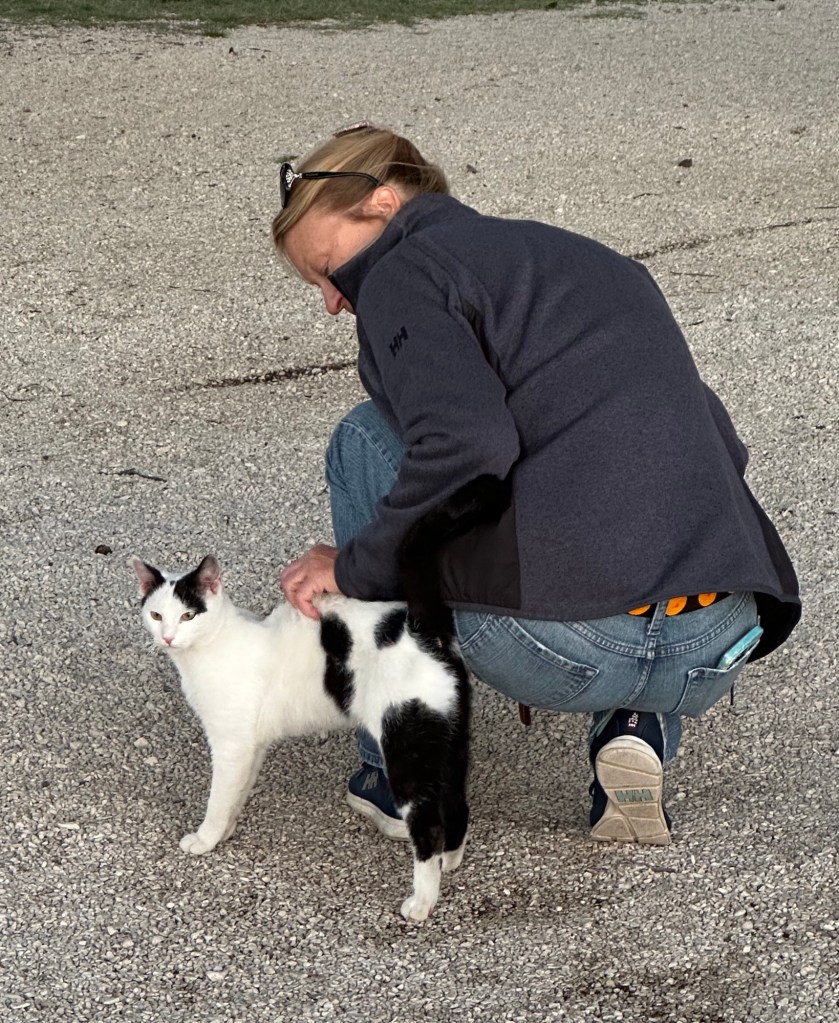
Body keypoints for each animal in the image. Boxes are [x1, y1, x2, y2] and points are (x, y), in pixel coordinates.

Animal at [130, 474, 510, 922]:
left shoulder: (231, 744)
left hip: (407, 746)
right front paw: (226, 831)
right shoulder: (251, 746)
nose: (168, 636)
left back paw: (421, 901)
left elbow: (219, 796)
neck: (211, 648)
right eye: (156, 615)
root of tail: (422, 627)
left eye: (188, 615)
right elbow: (238, 792)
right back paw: (448, 861)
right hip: (448, 744)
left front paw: (206, 838)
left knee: (428, 824)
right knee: (457, 804)